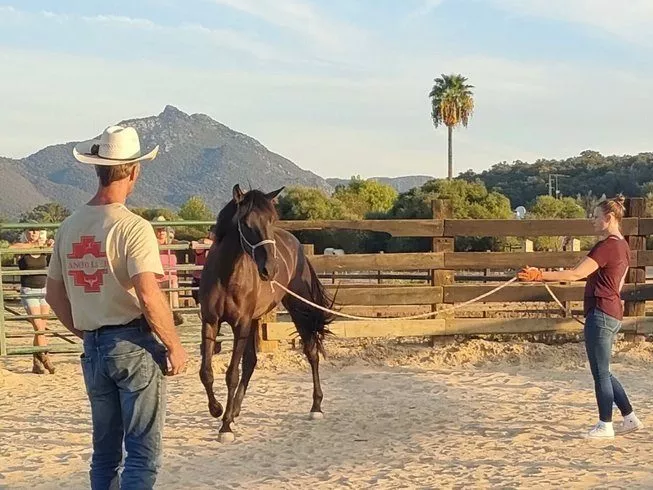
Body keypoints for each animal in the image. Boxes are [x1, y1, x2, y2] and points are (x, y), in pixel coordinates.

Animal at [197, 185, 332, 444]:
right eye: (246, 222)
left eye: (272, 219)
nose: (271, 268)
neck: (226, 276)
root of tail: (299, 248)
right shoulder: (211, 322)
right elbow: (206, 372)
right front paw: (217, 409)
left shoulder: (240, 325)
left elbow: (232, 374)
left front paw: (225, 426)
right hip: (255, 320)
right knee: (252, 362)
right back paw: (235, 410)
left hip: (297, 309)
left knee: (311, 352)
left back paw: (316, 407)